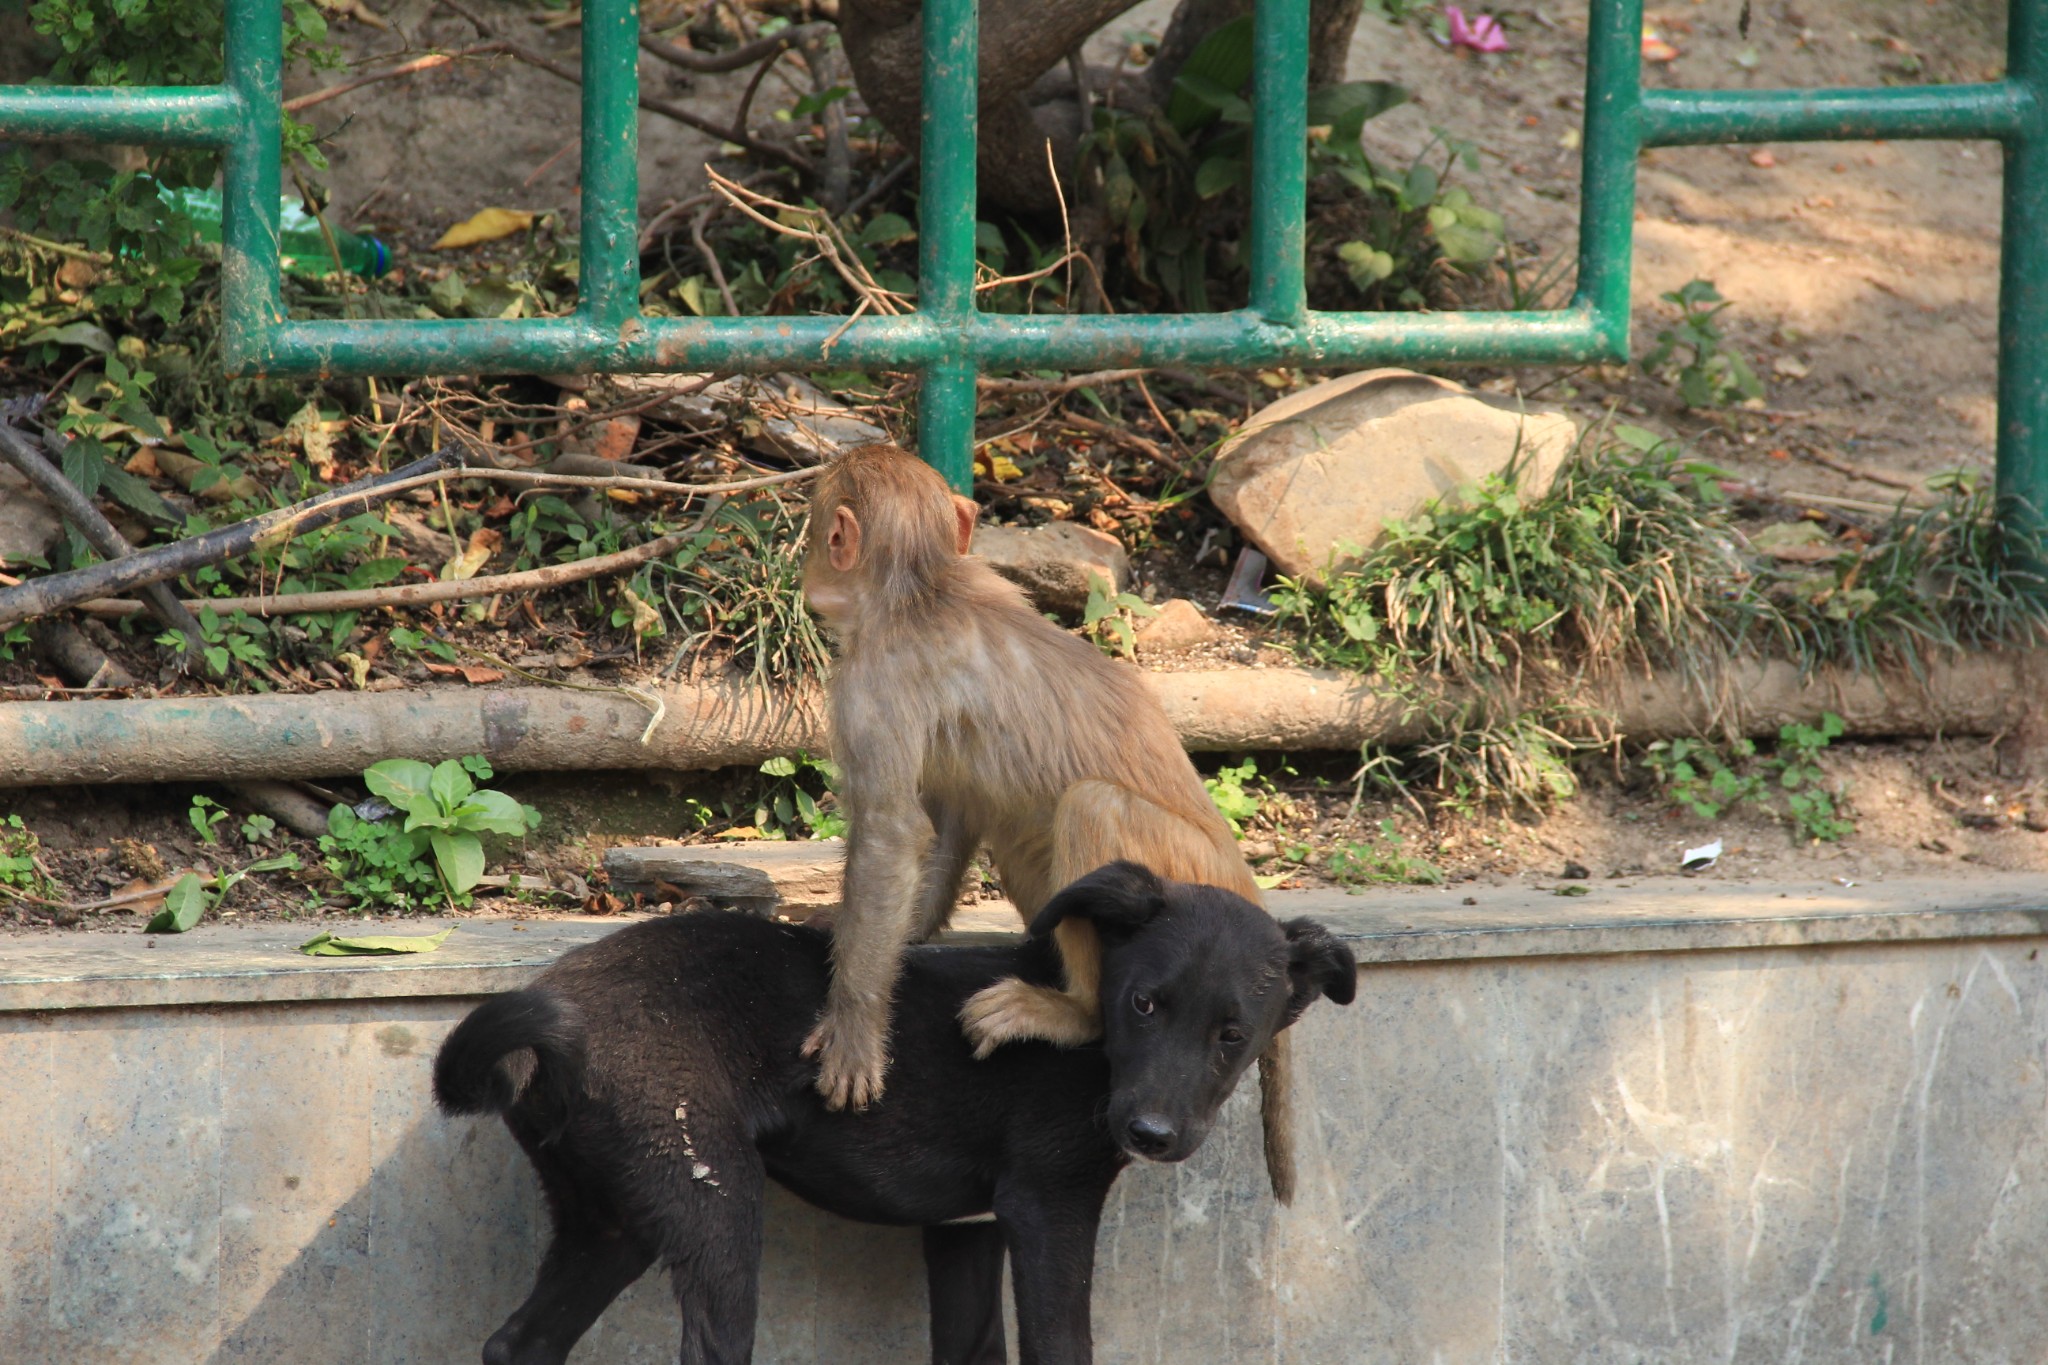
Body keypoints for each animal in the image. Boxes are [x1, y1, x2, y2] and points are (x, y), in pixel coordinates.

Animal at [434, 863, 1359, 1365]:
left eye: (1233, 1035)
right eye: (1143, 1003)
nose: (1152, 1135)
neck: (1086, 1039)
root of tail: (557, 1009)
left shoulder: (966, 1229)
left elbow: (974, 1346)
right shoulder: (1047, 1206)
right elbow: (1061, 1346)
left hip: (611, 1217)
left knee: (519, 1343)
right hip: (711, 1197)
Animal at [802, 444, 1302, 1203]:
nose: (805, 570)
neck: (921, 585)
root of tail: (1253, 897)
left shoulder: (872, 684)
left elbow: (891, 832)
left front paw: (854, 1026)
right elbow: (952, 804)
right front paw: (909, 931)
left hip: (1182, 884)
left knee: (1091, 804)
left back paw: (1077, 1013)